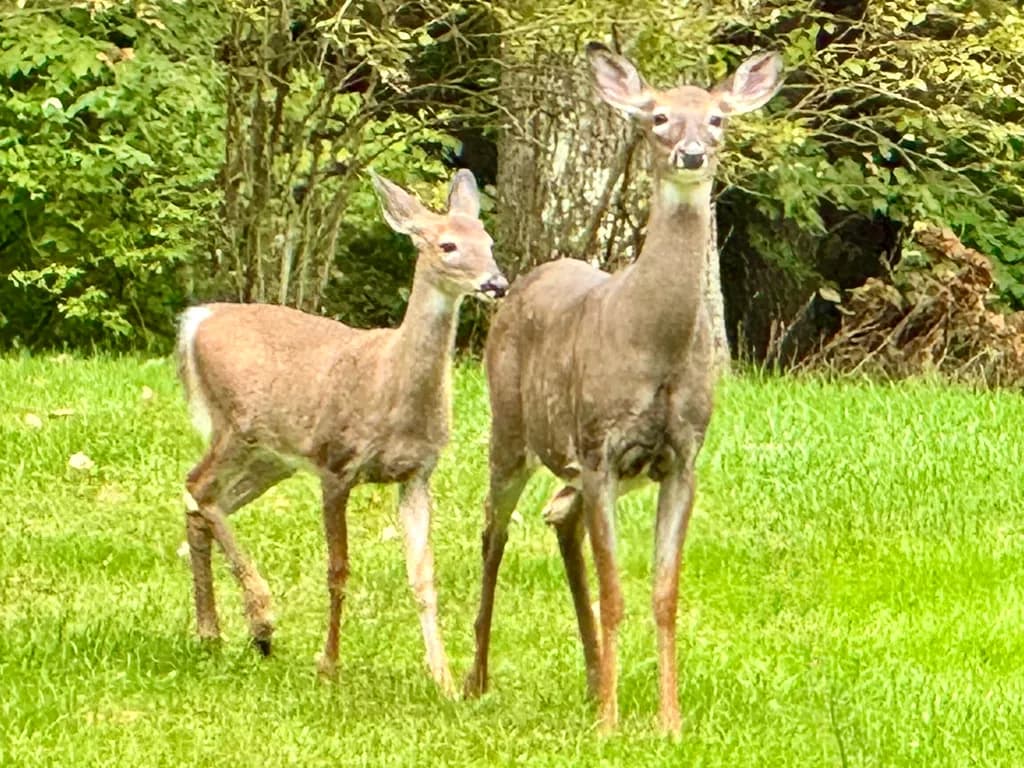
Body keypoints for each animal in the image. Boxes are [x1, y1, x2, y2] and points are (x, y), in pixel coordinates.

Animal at [176, 169, 507, 695]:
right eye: (448, 245)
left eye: (489, 241)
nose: (496, 283)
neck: (389, 386)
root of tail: (196, 319)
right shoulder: (336, 463)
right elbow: (338, 568)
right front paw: (328, 663)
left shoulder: (418, 474)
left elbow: (423, 576)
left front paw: (445, 681)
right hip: (237, 427)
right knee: (197, 489)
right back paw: (261, 619)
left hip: (271, 458)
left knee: (204, 503)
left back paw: (216, 632)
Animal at [462, 43, 784, 734]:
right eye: (658, 117)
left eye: (717, 118)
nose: (691, 153)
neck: (652, 343)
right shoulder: (601, 447)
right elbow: (616, 593)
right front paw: (611, 725)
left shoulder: (682, 457)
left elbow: (664, 595)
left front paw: (669, 721)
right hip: (511, 427)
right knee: (492, 533)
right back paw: (476, 678)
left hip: (574, 466)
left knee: (561, 519)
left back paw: (590, 680)